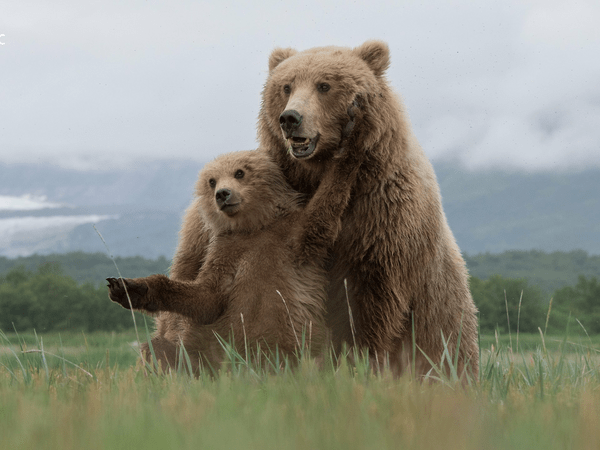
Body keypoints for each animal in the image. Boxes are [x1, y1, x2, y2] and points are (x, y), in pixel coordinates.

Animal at [162, 40, 480, 378]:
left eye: (324, 85)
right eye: (286, 86)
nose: (290, 118)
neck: (315, 173)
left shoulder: (381, 218)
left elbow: (369, 303)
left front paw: (360, 359)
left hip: (444, 313)